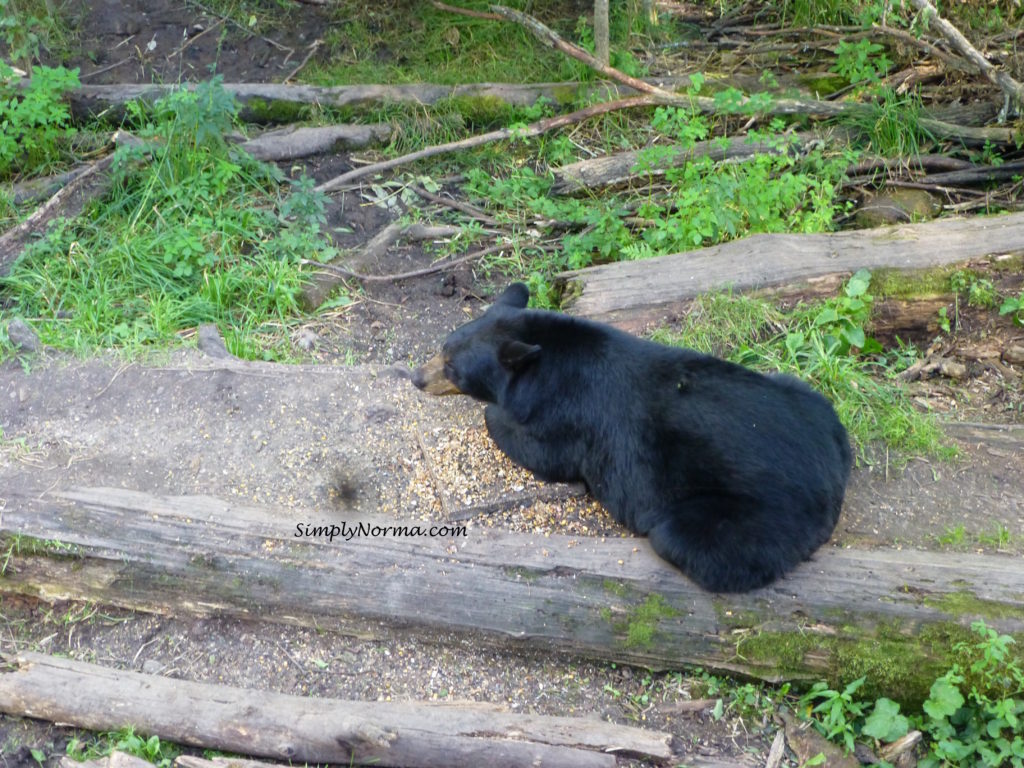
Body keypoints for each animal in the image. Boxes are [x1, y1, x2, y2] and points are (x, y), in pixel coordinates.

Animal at [411, 286, 851, 593]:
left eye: (452, 367)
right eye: (443, 348)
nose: (417, 377)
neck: (544, 363)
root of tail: (829, 481)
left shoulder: (569, 418)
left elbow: (541, 450)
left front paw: (496, 414)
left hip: (756, 516)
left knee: (688, 540)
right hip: (813, 402)